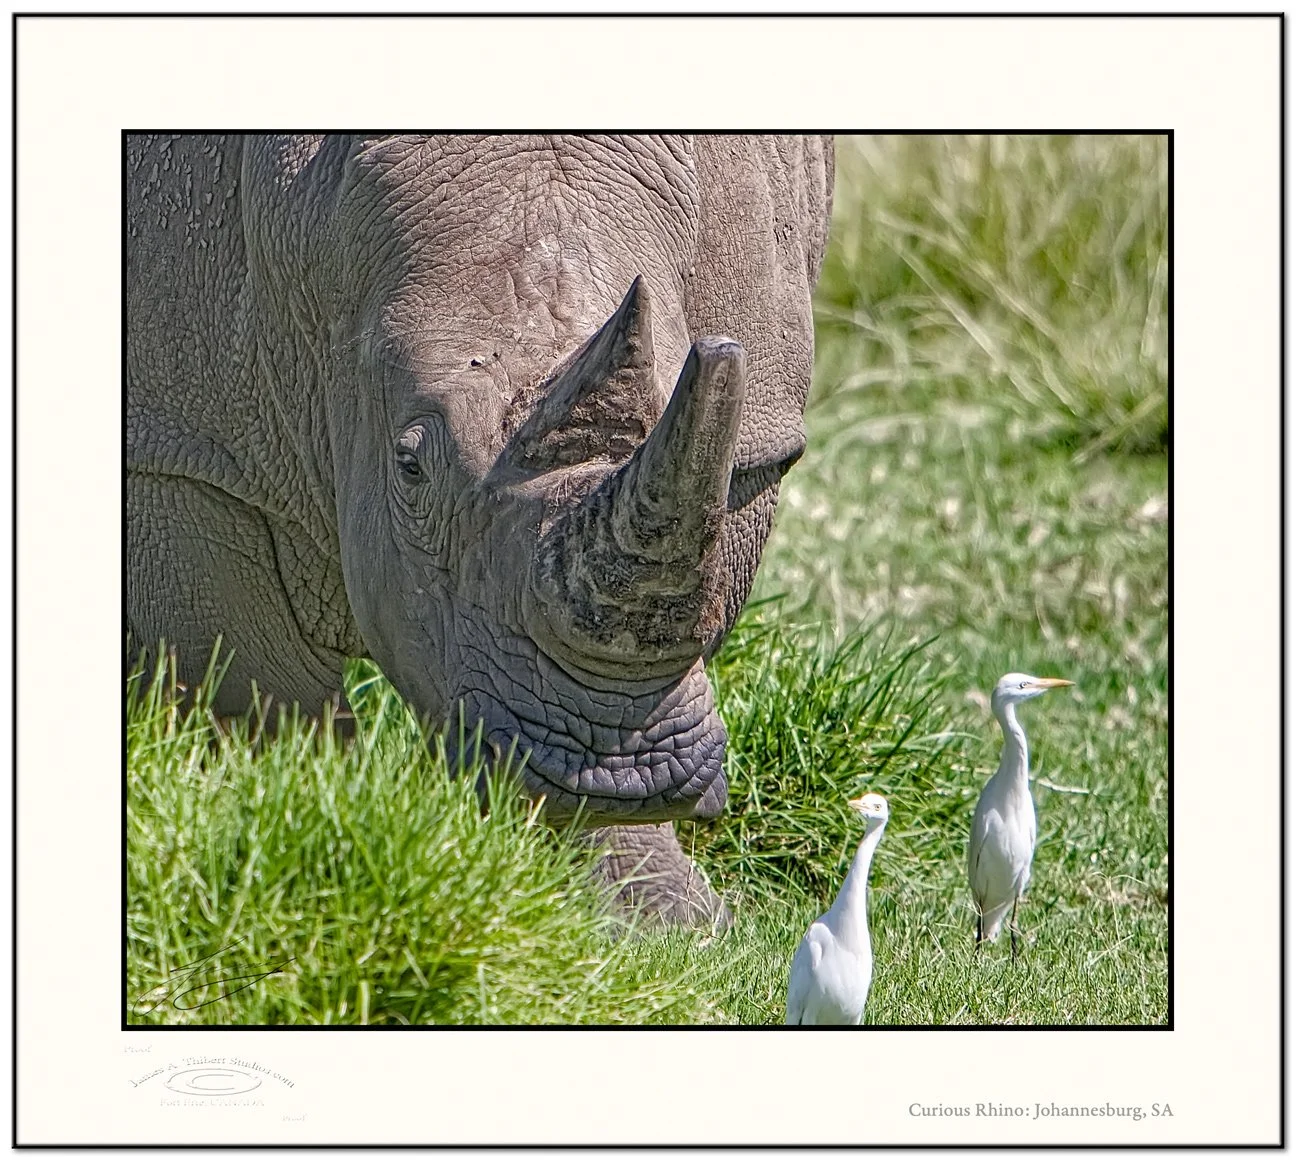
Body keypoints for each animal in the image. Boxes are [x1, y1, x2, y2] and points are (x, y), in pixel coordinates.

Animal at [127, 134, 834, 925]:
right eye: (409, 467)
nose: (615, 773)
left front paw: (662, 923)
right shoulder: (177, 443)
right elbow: (252, 686)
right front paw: (297, 836)